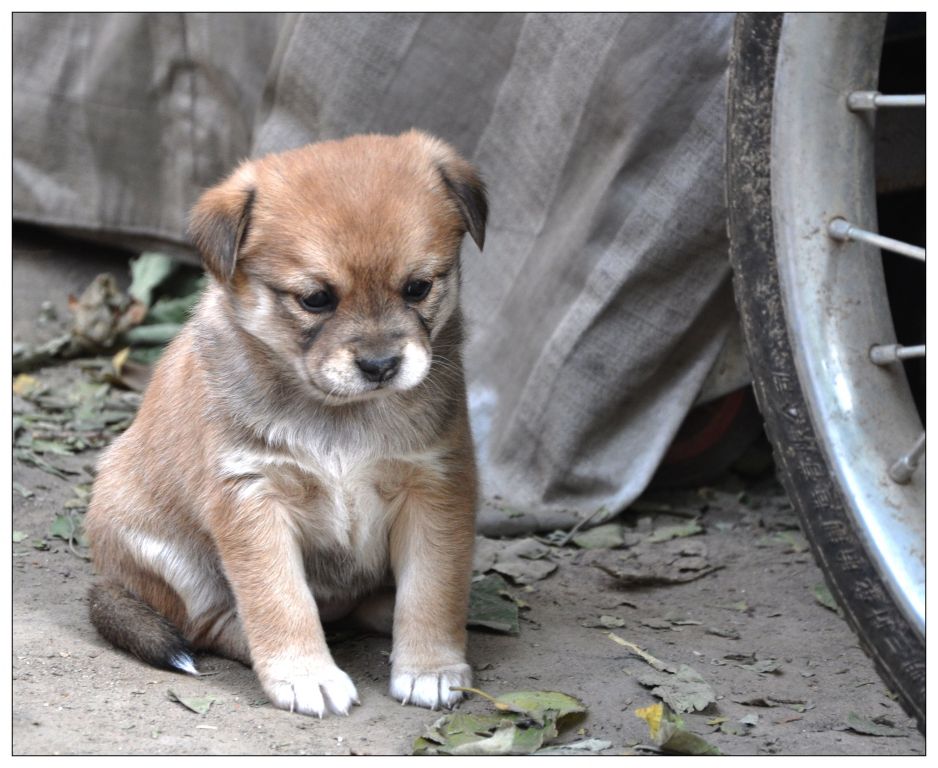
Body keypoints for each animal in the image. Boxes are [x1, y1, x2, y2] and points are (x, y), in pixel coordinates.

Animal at [84, 130, 486, 712]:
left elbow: (432, 588)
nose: (380, 365)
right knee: (208, 625)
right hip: (168, 557)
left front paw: (430, 667)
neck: (338, 412)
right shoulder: (253, 497)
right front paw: (305, 674)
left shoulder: (434, 485)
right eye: (316, 299)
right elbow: (281, 598)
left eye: (418, 287)